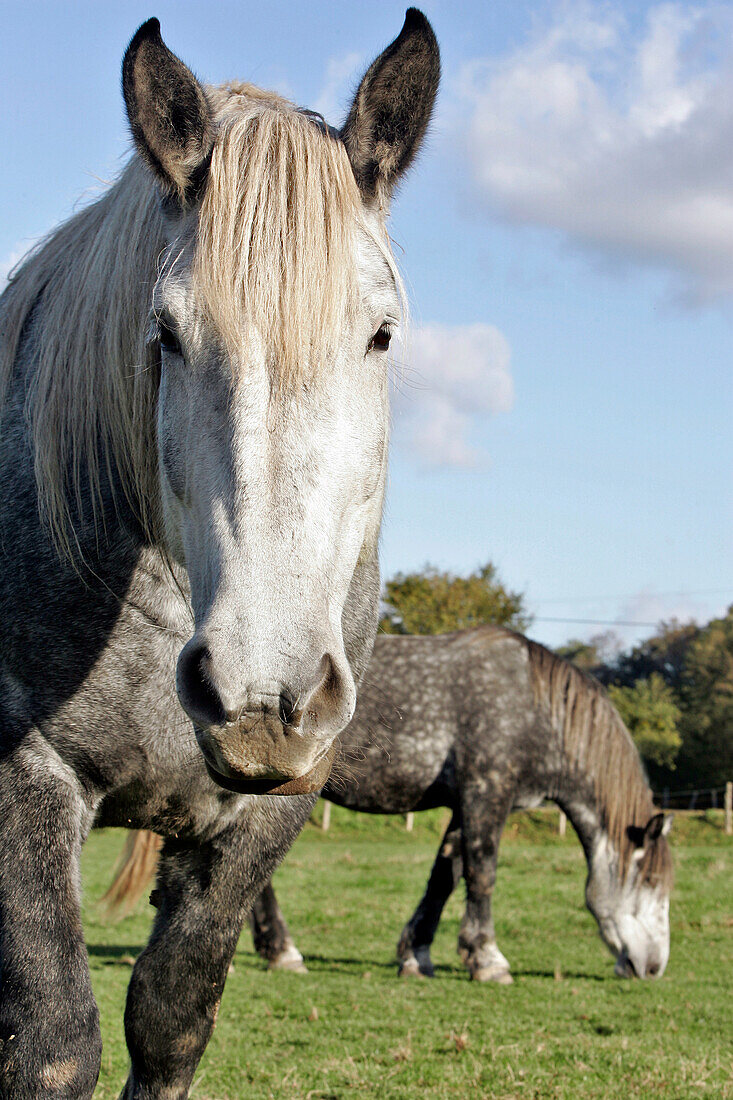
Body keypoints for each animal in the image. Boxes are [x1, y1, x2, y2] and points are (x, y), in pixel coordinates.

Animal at [0, 10, 433, 1100]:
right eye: (165, 332)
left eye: (381, 334)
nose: (261, 697)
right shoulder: (22, 782)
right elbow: (54, 1041)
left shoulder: (268, 815)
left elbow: (170, 1020)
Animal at [110, 629, 673, 990]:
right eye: (651, 884)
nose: (653, 969)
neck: (529, 706)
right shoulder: (487, 793)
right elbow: (482, 871)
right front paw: (488, 959)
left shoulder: (463, 803)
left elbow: (444, 875)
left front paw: (417, 956)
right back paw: (276, 951)